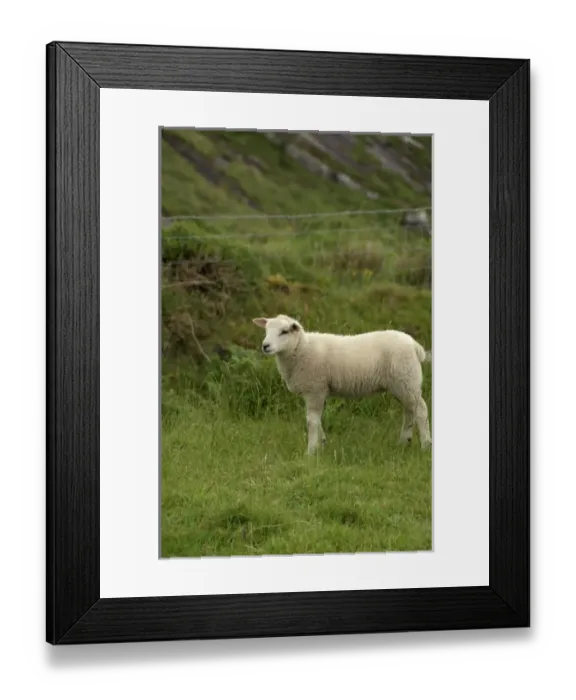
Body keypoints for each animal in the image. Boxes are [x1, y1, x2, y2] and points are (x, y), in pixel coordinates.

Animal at [252, 314, 432, 456]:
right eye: (266, 330)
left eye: (284, 331)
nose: (265, 346)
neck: (302, 349)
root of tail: (415, 346)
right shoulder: (318, 391)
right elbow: (317, 420)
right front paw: (322, 443)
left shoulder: (315, 388)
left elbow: (312, 421)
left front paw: (311, 451)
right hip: (402, 383)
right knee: (409, 411)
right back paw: (404, 441)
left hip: (406, 379)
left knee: (421, 410)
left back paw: (425, 446)